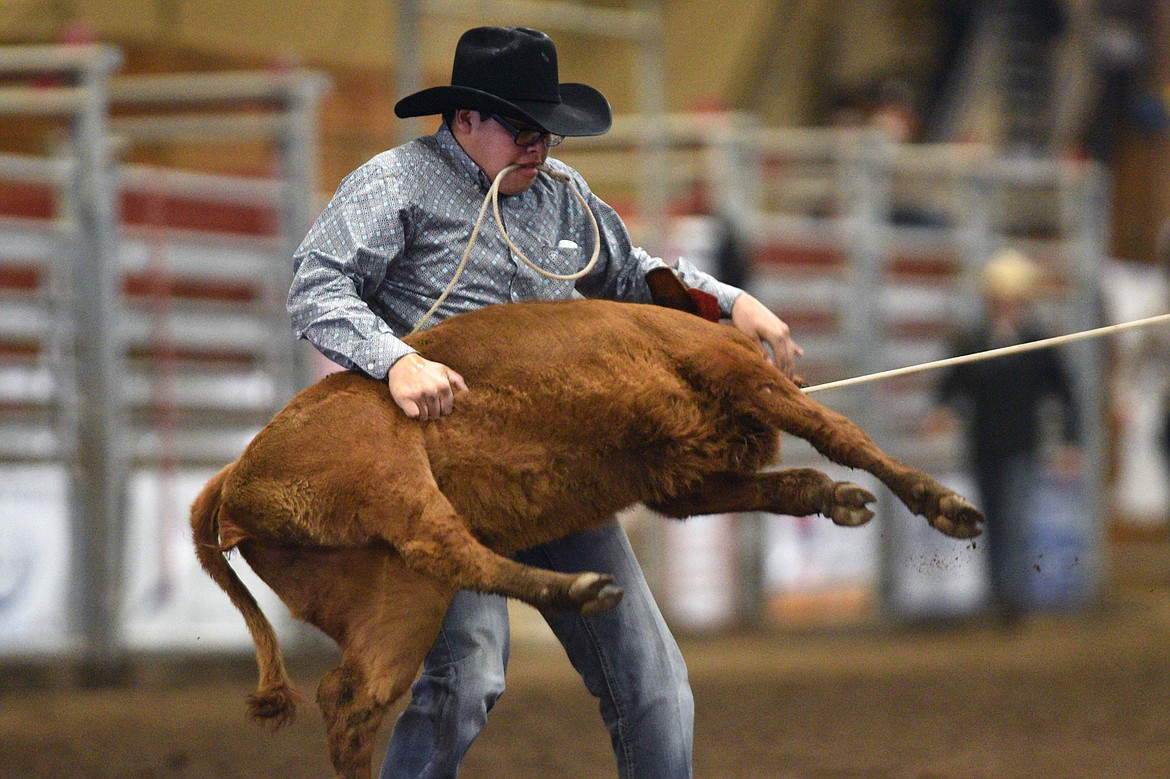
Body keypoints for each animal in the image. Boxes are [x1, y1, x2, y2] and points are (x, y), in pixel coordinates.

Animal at [189, 276, 978, 771]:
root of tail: (234, 474)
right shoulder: (736, 375)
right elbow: (840, 434)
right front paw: (942, 504)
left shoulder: (684, 482)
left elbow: (797, 481)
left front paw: (842, 500)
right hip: (389, 476)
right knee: (445, 547)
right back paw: (578, 588)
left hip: (393, 594)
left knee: (352, 695)